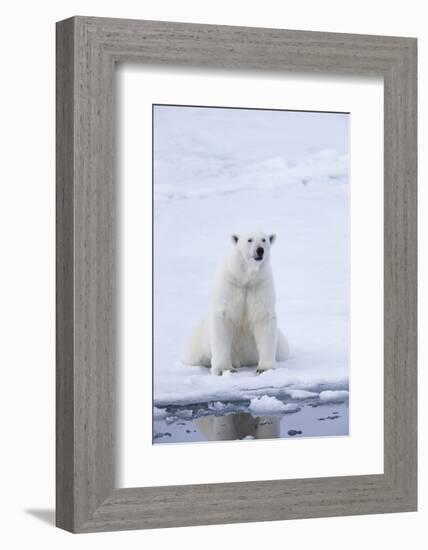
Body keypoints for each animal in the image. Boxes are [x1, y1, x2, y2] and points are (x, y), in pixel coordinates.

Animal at [182, 231, 290, 378]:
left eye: (264, 240)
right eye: (249, 240)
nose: (260, 250)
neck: (245, 279)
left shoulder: (259, 286)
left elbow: (263, 318)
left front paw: (264, 369)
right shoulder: (229, 286)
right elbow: (223, 320)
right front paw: (224, 369)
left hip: (280, 344)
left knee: (284, 351)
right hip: (198, 343)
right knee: (192, 356)